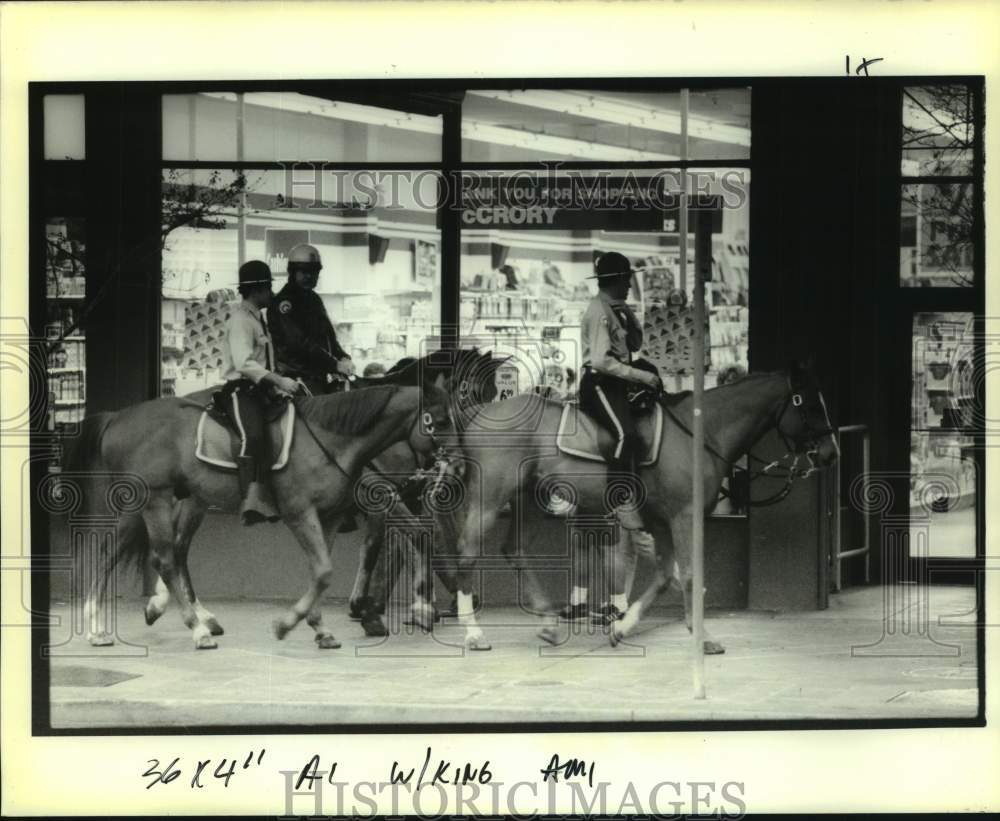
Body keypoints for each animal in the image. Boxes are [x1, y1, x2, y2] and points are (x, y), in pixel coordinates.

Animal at [63, 382, 454, 652]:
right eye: (438, 420)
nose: (451, 463)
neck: (330, 438)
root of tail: (117, 416)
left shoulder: (328, 517)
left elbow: (324, 572)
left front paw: (321, 628)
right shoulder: (302, 512)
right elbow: (328, 570)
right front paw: (288, 623)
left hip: (147, 505)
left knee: (114, 553)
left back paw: (99, 627)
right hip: (156, 501)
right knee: (165, 558)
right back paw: (197, 629)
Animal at [442, 362, 840, 652]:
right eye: (809, 404)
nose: (831, 453)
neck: (699, 433)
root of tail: (478, 412)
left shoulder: (662, 522)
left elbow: (665, 576)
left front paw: (623, 626)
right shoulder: (684, 517)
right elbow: (689, 574)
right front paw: (701, 637)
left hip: (528, 499)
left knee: (515, 549)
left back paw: (548, 623)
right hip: (490, 499)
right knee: (467, 554)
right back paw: (474, 633)